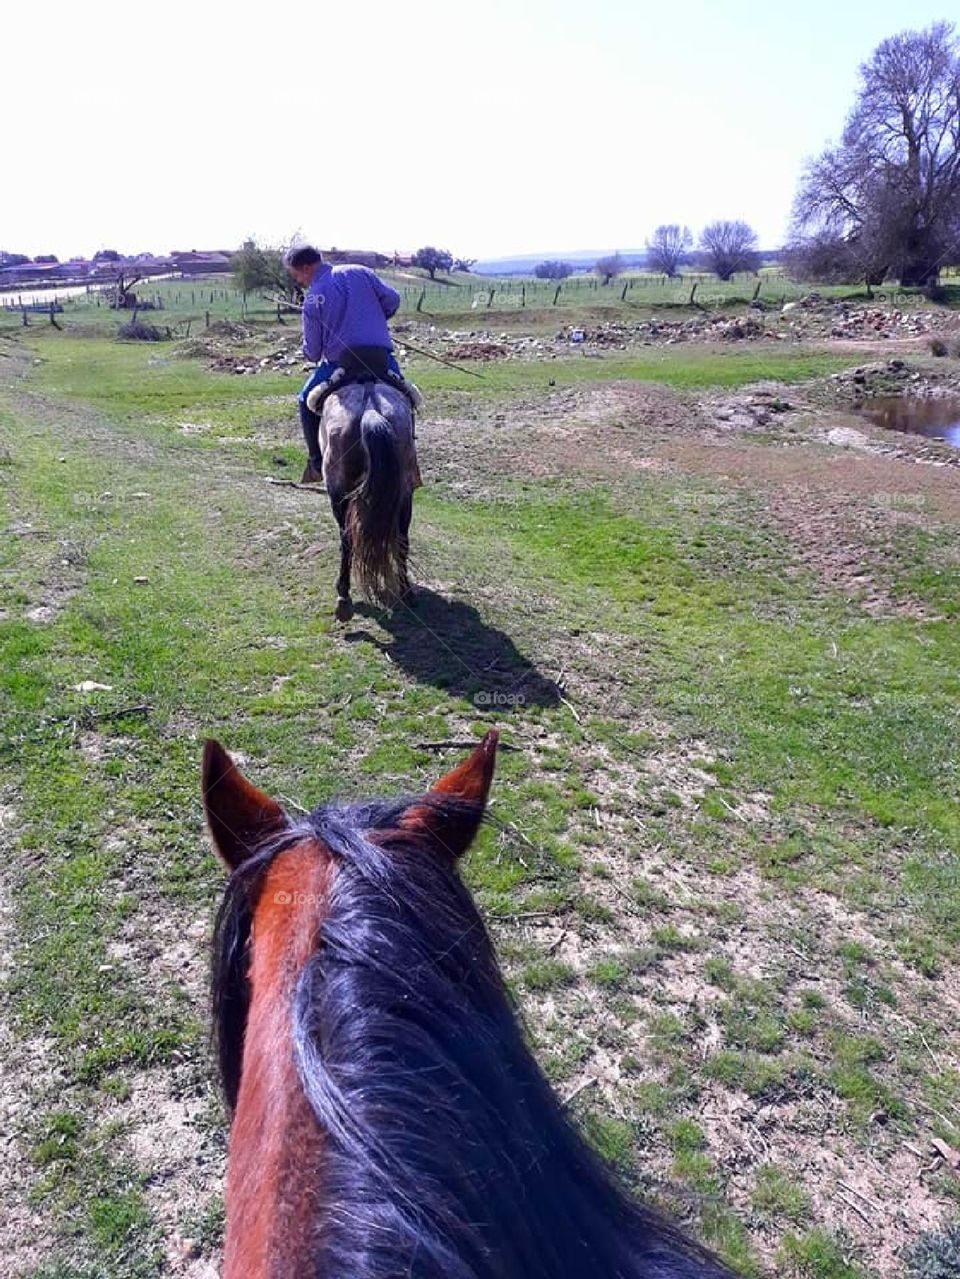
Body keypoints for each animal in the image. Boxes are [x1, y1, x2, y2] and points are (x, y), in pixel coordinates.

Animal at [309, 381, 419, 622]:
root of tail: (370, 406)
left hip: (339, 492)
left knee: (347, 540)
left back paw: (343, 597)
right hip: (404, 493)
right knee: (402, 539)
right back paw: (406, 592)